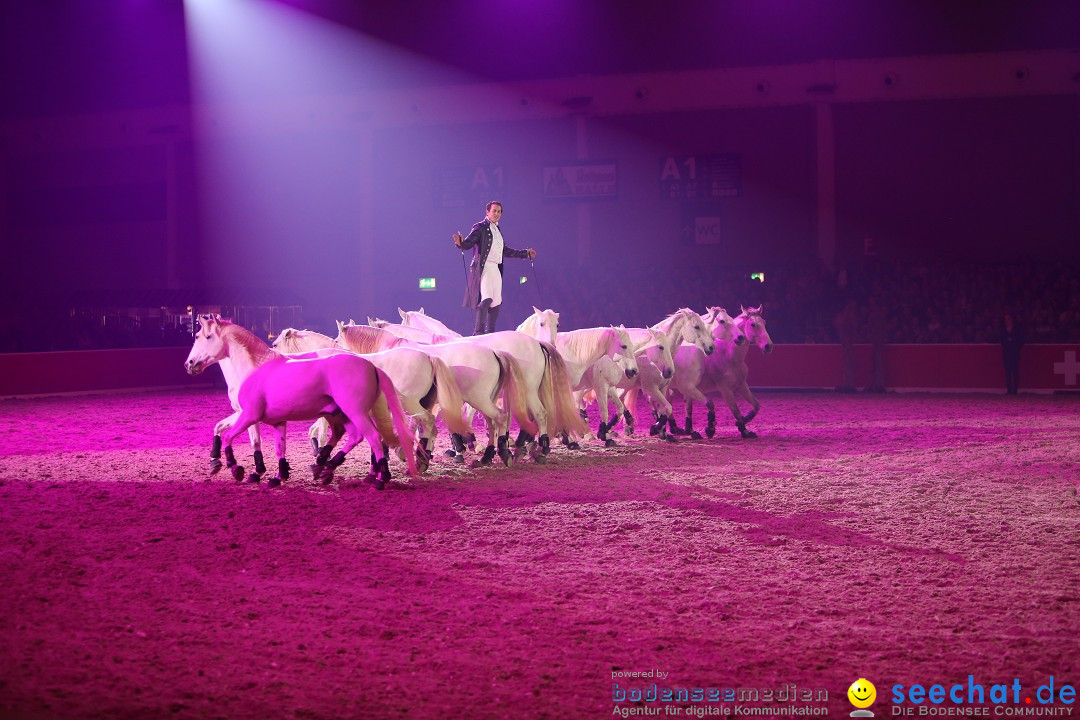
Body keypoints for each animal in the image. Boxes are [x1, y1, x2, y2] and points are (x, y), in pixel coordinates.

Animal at [183, 317, 414, 490]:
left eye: (206, 336)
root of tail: (371, 365)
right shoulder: (273, 420)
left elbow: (230, 436)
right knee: (356, 436)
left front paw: (235, 467)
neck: (254, 369)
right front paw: (275, 476)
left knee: (373, 438)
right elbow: (274, 447)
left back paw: (378, 478)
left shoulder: (248, 415)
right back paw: (326, 467)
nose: (189, 364)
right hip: (344, 414)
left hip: (354, 412)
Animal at [270, 325, 468, 472]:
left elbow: (323, 428)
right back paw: (422, 459)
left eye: (275, 344)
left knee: (427, 422)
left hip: (411, 404)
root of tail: (429, 356)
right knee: (430, 428)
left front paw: (320, 458)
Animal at [332, 321, 527, 468]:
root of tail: (494, 353)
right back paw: (488, 456)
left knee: (501, 418)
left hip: (479, 400)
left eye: (337, 338)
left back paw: (504, 451)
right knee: (494, 423)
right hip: (485, 401)